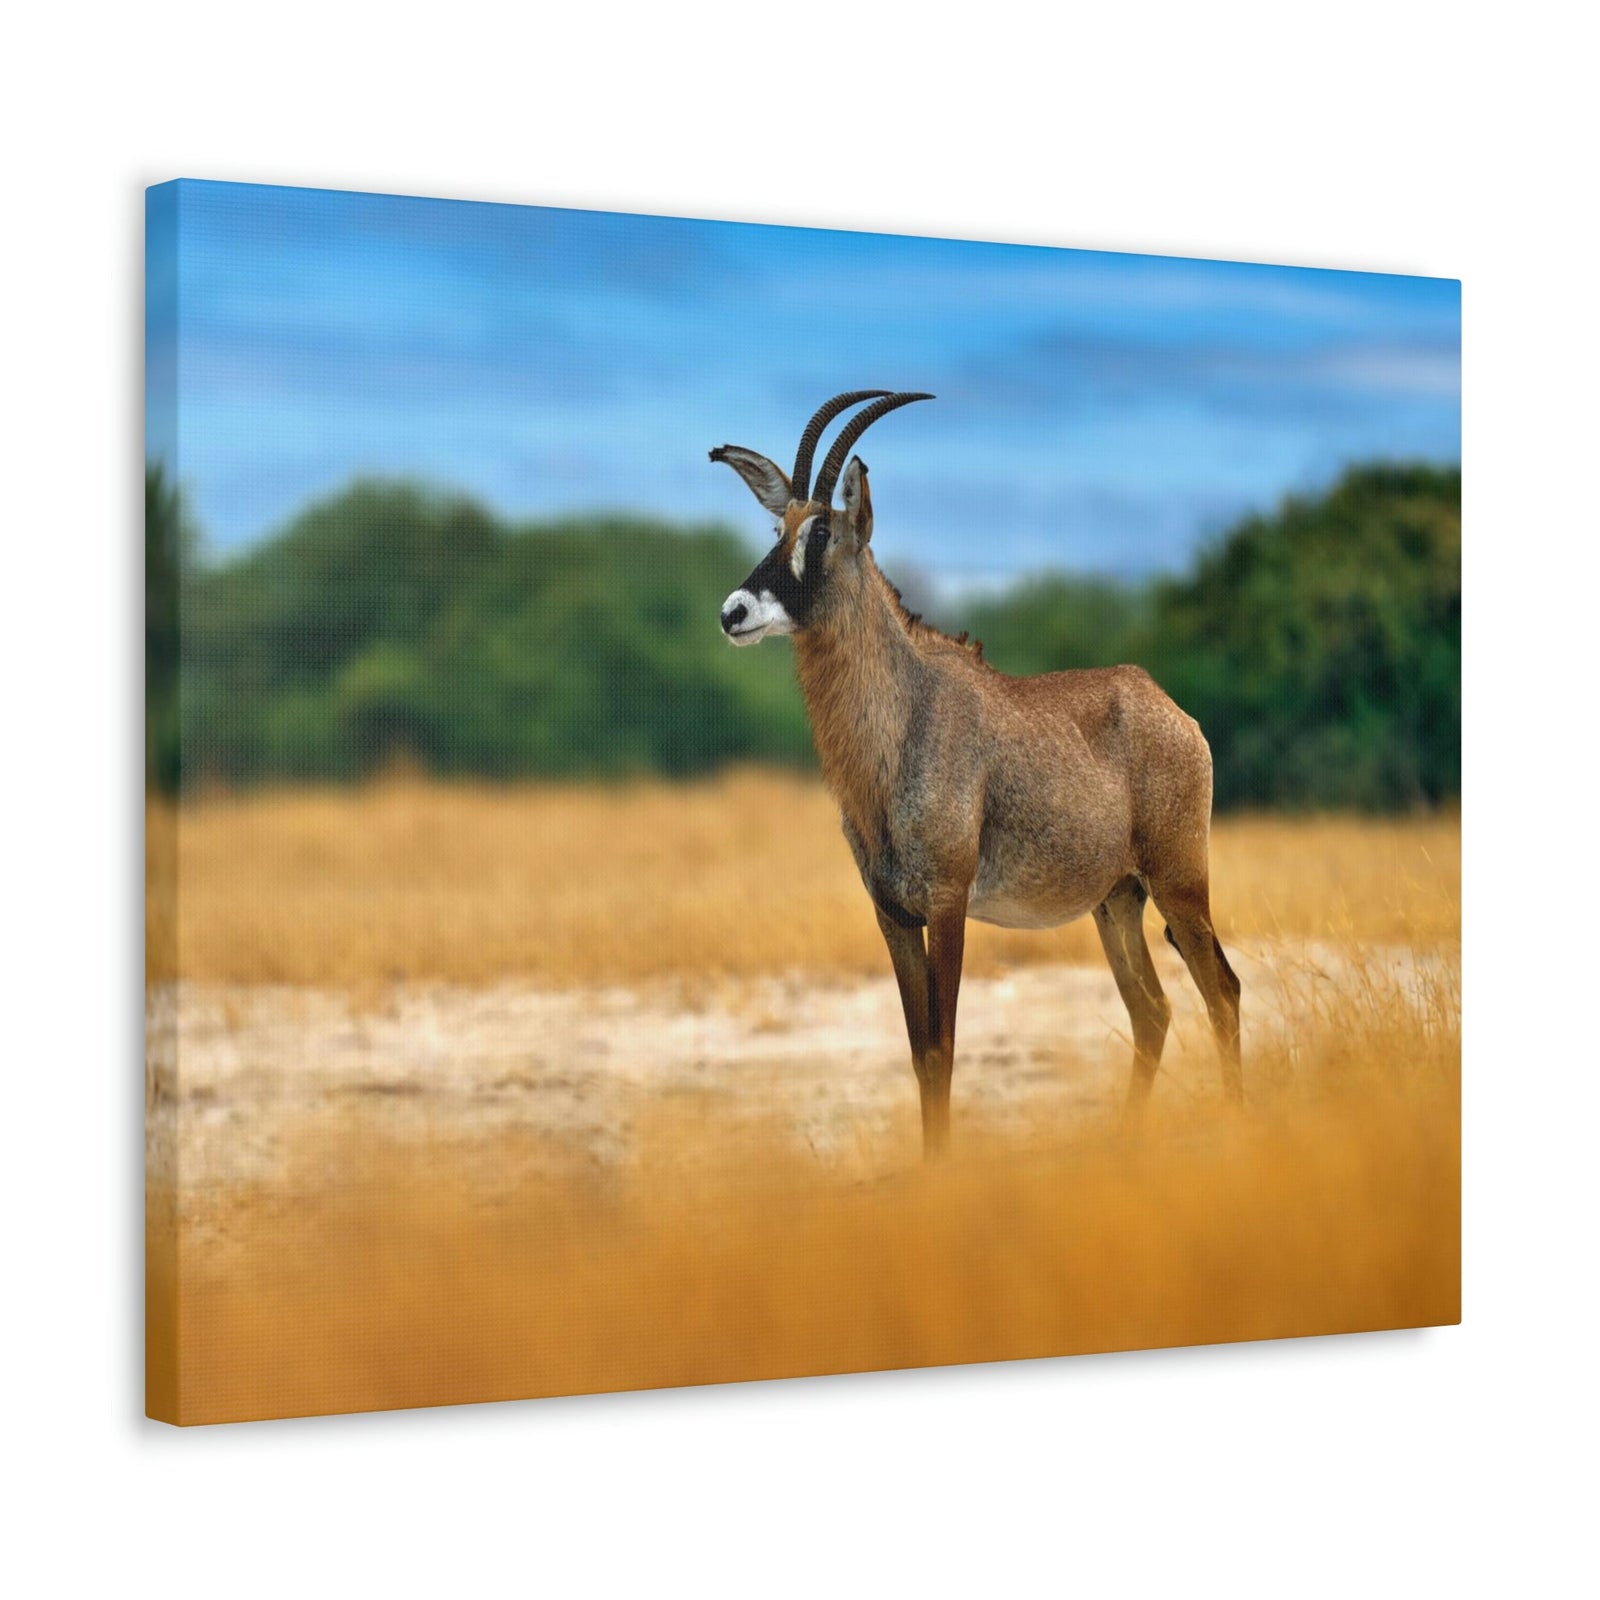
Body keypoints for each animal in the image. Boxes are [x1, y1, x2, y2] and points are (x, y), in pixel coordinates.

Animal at [712, 390, 1242, 1158]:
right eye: (777, 527)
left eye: (823, 533)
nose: (735, 612)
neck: (904, 720)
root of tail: (1169, 709)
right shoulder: (893, 915)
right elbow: (919, 1053)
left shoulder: (948, 904)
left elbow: (944, 1046)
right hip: (1117, 901)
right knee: (1154, 1009)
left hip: (1179, 883)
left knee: (1221, 992)